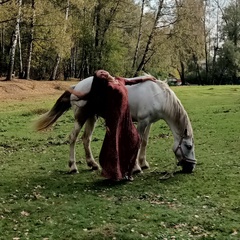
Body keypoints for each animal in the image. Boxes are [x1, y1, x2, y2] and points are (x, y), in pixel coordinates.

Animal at [36, 76, 197, 174]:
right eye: (189, 146)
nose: (191, 167)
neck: (158, 95)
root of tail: (76, 86)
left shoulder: (149, 123)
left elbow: (145, 142)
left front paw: (143, 163)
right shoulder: (142, 122)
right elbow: (139, 142)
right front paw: (136, 168)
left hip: (91, 118)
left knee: (86, 139)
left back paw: (93, 164)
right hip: (80, 118)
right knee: (73, 138)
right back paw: (73, 167)